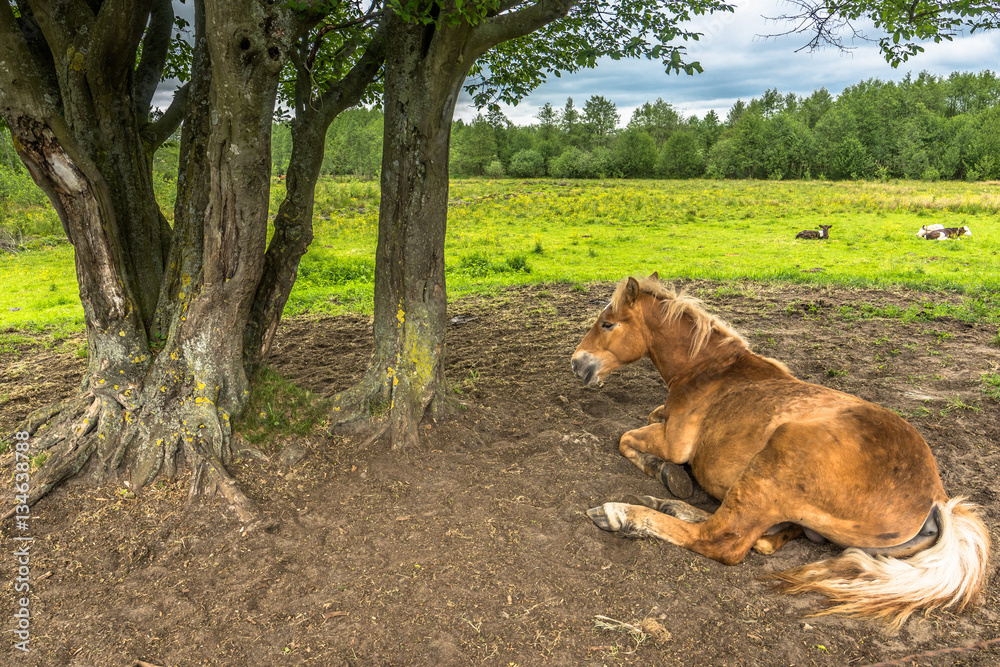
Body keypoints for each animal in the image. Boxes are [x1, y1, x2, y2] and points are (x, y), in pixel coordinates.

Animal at [572, 274, 990, 628]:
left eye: (608, 324)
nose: (577, 364)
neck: (709, 371)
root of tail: (936, 500)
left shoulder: (673, 442)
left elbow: (627, 439)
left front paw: (666, 474)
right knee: (762, 535)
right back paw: (669, 506)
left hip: (776, 459)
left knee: (722, 539)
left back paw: (623, 513)